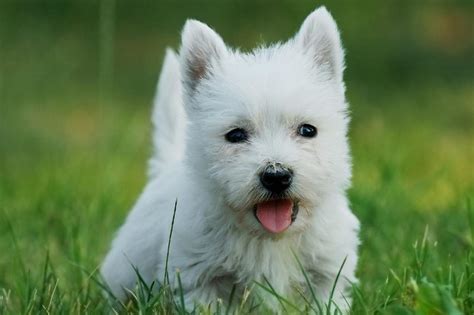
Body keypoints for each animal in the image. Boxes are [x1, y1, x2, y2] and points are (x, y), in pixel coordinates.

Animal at [101, 6, 360, 312]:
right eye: (235, 135)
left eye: (308, 130)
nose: (276, 176)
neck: (268, 239)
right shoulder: (199, 279)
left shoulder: (327, 276)